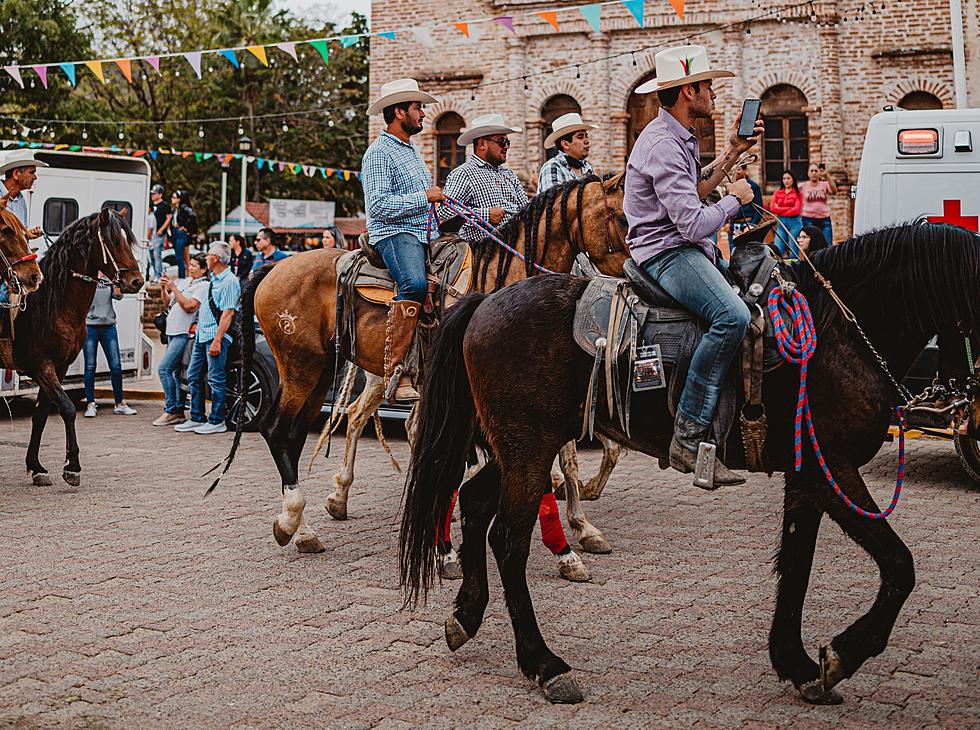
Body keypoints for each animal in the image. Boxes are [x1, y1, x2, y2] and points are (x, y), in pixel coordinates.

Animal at [14, 208, 144, 486]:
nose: (136, 281)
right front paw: (72, 465)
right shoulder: (41, 366)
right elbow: (67, 408)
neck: (52, 304)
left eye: (128, 240)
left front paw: (36, 466)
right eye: (114, 241)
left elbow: (41, 414)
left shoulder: (60, 367)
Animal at [228, 173, 628, 556]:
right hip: (301, 369)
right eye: (622, 216)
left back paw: (312, 523)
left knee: (309, 431)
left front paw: (582, 528)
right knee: (282, 431)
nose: (631, 277)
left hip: (323, 371)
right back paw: (296, 522)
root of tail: (272, 268)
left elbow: (564, 459)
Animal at [400, 223, 980, 704]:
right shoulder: (831, 470)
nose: (961, 405)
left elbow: (797, 562)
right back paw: (545, 664)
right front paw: (839, 656)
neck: (837, 334)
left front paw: (797, 664)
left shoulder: (805, 476)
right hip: (528, 447)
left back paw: (465, 614)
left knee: (475, 502)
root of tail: (483, 302)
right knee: (507, 539)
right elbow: (898, 564)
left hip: (522, 447)